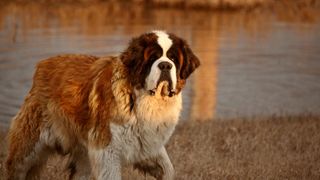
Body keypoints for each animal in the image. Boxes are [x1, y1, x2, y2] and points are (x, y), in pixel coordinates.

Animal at [5, 30, 200, 179]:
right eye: (153, 58)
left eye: (174, 59)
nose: (166, 65)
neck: (143, 98)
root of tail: (42, 65)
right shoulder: (107, 151)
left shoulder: (146, 144)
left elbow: (168, 169)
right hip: (27, 149)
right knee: (15, 166)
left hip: (83, 155)